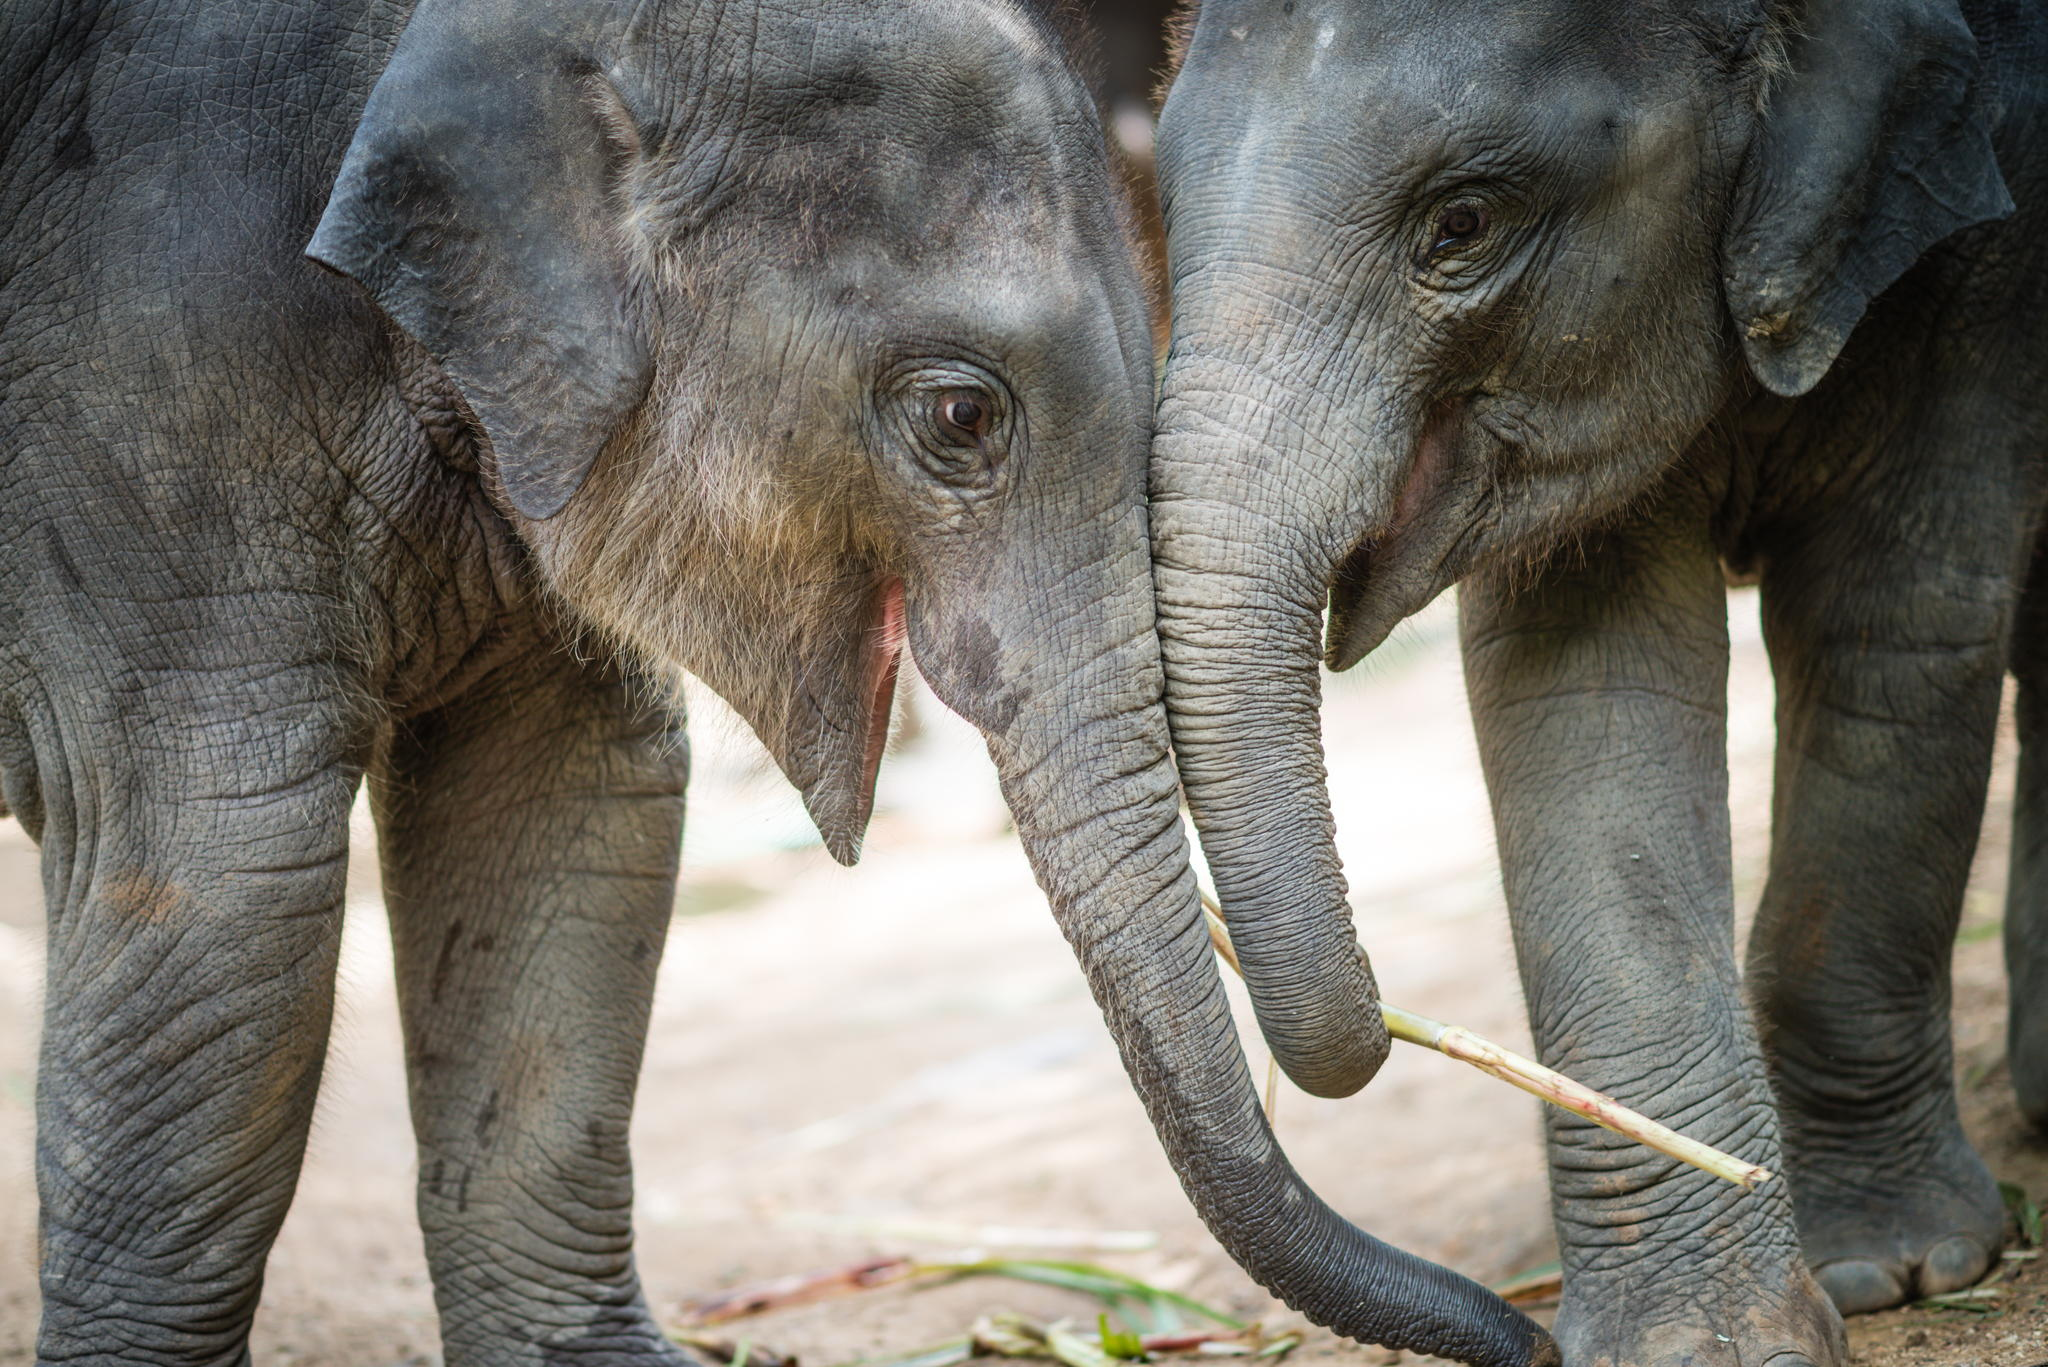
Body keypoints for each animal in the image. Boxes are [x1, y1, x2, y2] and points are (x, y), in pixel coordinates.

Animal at [1155, 2, 2048, 1367]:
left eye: (1460, 224)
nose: (1520, 1340)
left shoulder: (1983, 258)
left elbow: (1897, 627)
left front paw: (1894, 1268)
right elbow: (1581, 691)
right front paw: (1697, 1342)